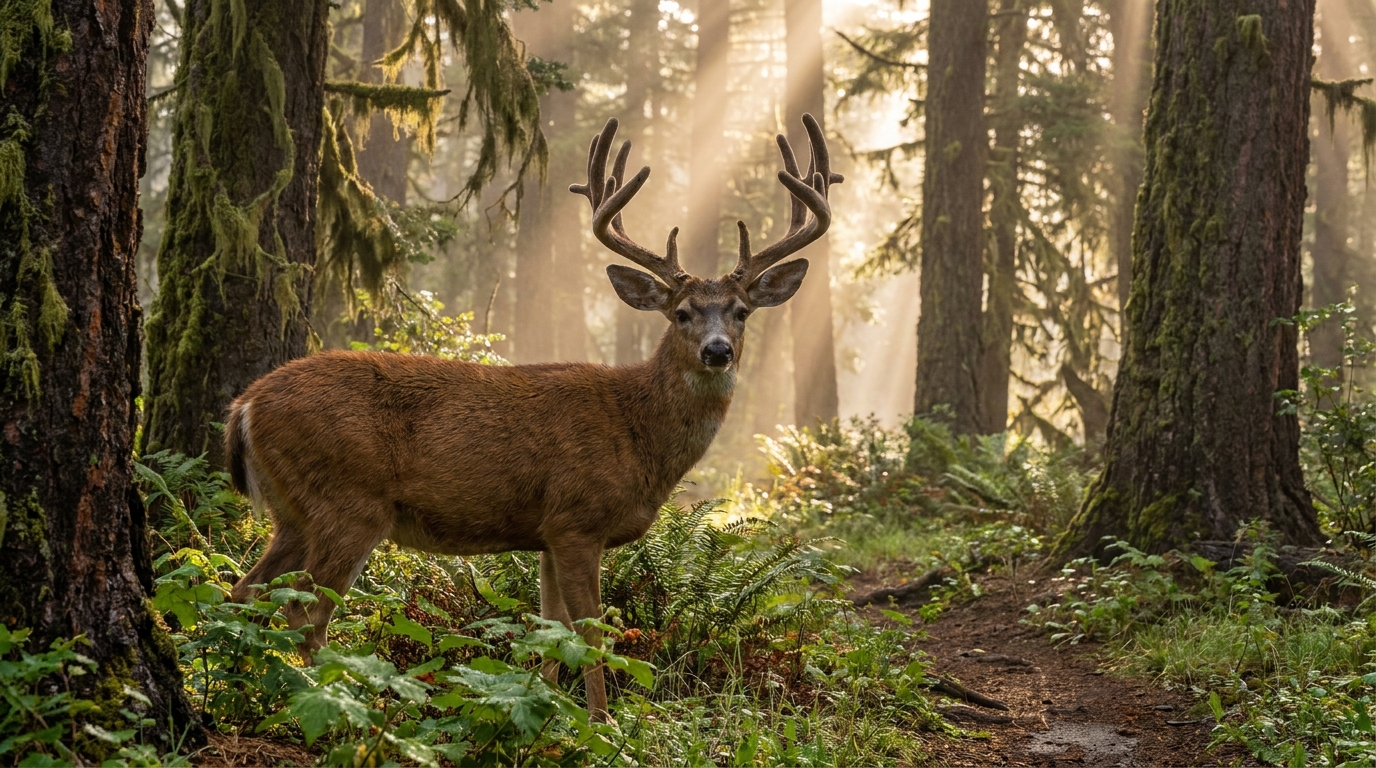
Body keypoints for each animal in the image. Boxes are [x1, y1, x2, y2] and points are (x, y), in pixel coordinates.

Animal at [224, 114, 841, 721]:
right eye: (682, 313)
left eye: (741, 312)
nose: (718, 351)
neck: (637, 430)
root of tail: (246, 405)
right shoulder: (577, 520)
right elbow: (589, 632)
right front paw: (602, 722)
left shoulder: (546, 532)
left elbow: (552, 628)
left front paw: (544, 708)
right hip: (349, 503)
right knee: (304, 611)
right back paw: (336, 701)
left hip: (293, 511)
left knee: (244, 589)